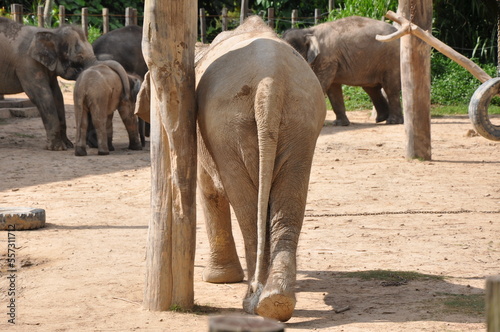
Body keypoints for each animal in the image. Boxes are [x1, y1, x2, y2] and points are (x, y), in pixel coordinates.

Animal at [0, 16, 128, 149]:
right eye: (79, 58)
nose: (126, 96)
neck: (51, 32)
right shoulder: (27, 65)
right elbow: (43, 96)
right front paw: (58, 148)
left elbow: (57, 95)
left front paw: (68, 145)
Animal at [193, 15, 326, 322]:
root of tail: (271, 83)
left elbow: (207, 189)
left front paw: (217, 280)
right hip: (301, 119)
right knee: (289, 200)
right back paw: (275, 301)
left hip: (227, 127)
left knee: (245, 207)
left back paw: (253, 300)